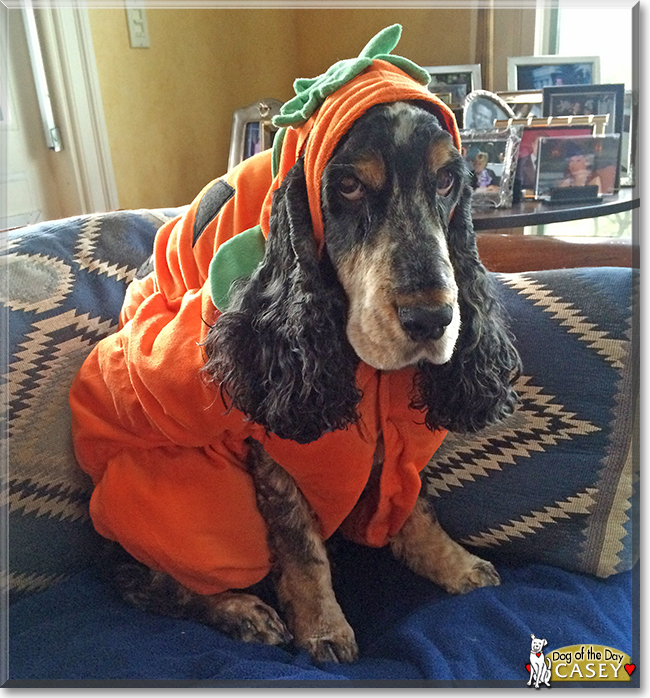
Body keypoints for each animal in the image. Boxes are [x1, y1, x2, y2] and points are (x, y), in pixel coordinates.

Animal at [82, 96, 516, 656]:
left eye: (446, 181)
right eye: (348, 185)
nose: (431, 319)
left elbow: (414, 505)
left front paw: (454, 563)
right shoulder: (272, 451)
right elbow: (301, 549)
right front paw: (323, 627)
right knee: (148, 581)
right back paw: (242, 611)